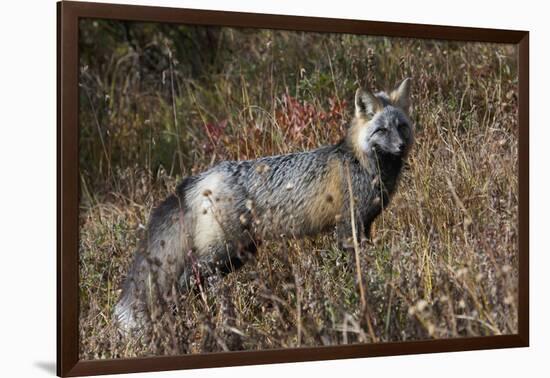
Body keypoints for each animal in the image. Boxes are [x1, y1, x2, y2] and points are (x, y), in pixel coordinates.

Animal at [115, 77, 414, 330]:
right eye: (382, 130)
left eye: (401, 126)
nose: (401, 146)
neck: (363, 164)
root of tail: (199, 178)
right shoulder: (347, 227)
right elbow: (356, 267)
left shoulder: (365, 225)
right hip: (222, 252)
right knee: (186, 280)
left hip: (238, 253)